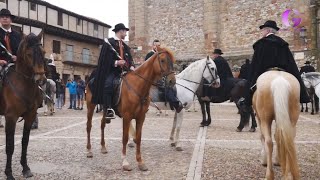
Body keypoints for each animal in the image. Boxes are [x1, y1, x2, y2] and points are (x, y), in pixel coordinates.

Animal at [0, 32, 46, 180]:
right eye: (29, 54)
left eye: (43, 52)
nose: (41, 80)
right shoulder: (11, 117)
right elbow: (9, 146)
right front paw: (9, 173)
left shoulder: (30, 116)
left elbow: (25, 142)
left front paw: (25, 168)